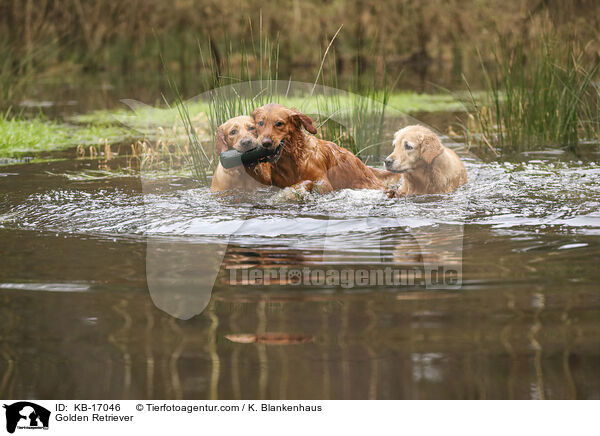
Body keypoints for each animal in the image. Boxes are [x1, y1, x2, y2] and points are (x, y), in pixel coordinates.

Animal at [252, 103, 384, 192]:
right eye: (260, 123)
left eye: (279, 123)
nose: (266, 143)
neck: (293, 160)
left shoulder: (324, 183)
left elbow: (304, 183)